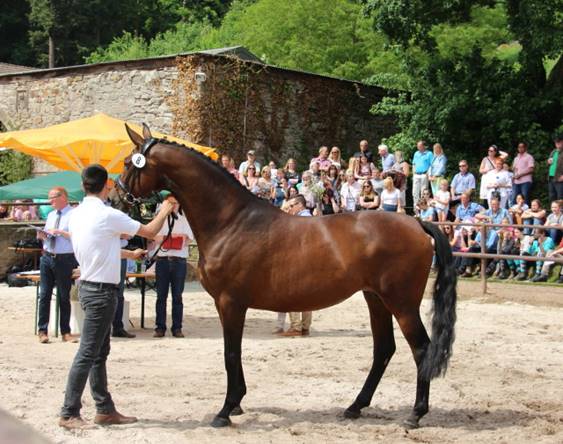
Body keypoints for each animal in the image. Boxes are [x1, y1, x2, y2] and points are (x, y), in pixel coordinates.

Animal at [119, 125, 458, 430]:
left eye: (127, 163)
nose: (120, 195)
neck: (231, 221)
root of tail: (417, 222)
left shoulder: (230, 303)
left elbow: (231, 353)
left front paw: (226, 410)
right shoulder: (230, 304)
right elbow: (234, 353)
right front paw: (237, 403)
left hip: (402, 303)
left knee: (421, 349)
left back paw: (415, 414)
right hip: (375, 299)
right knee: (384, 349)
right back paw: (355, 407)